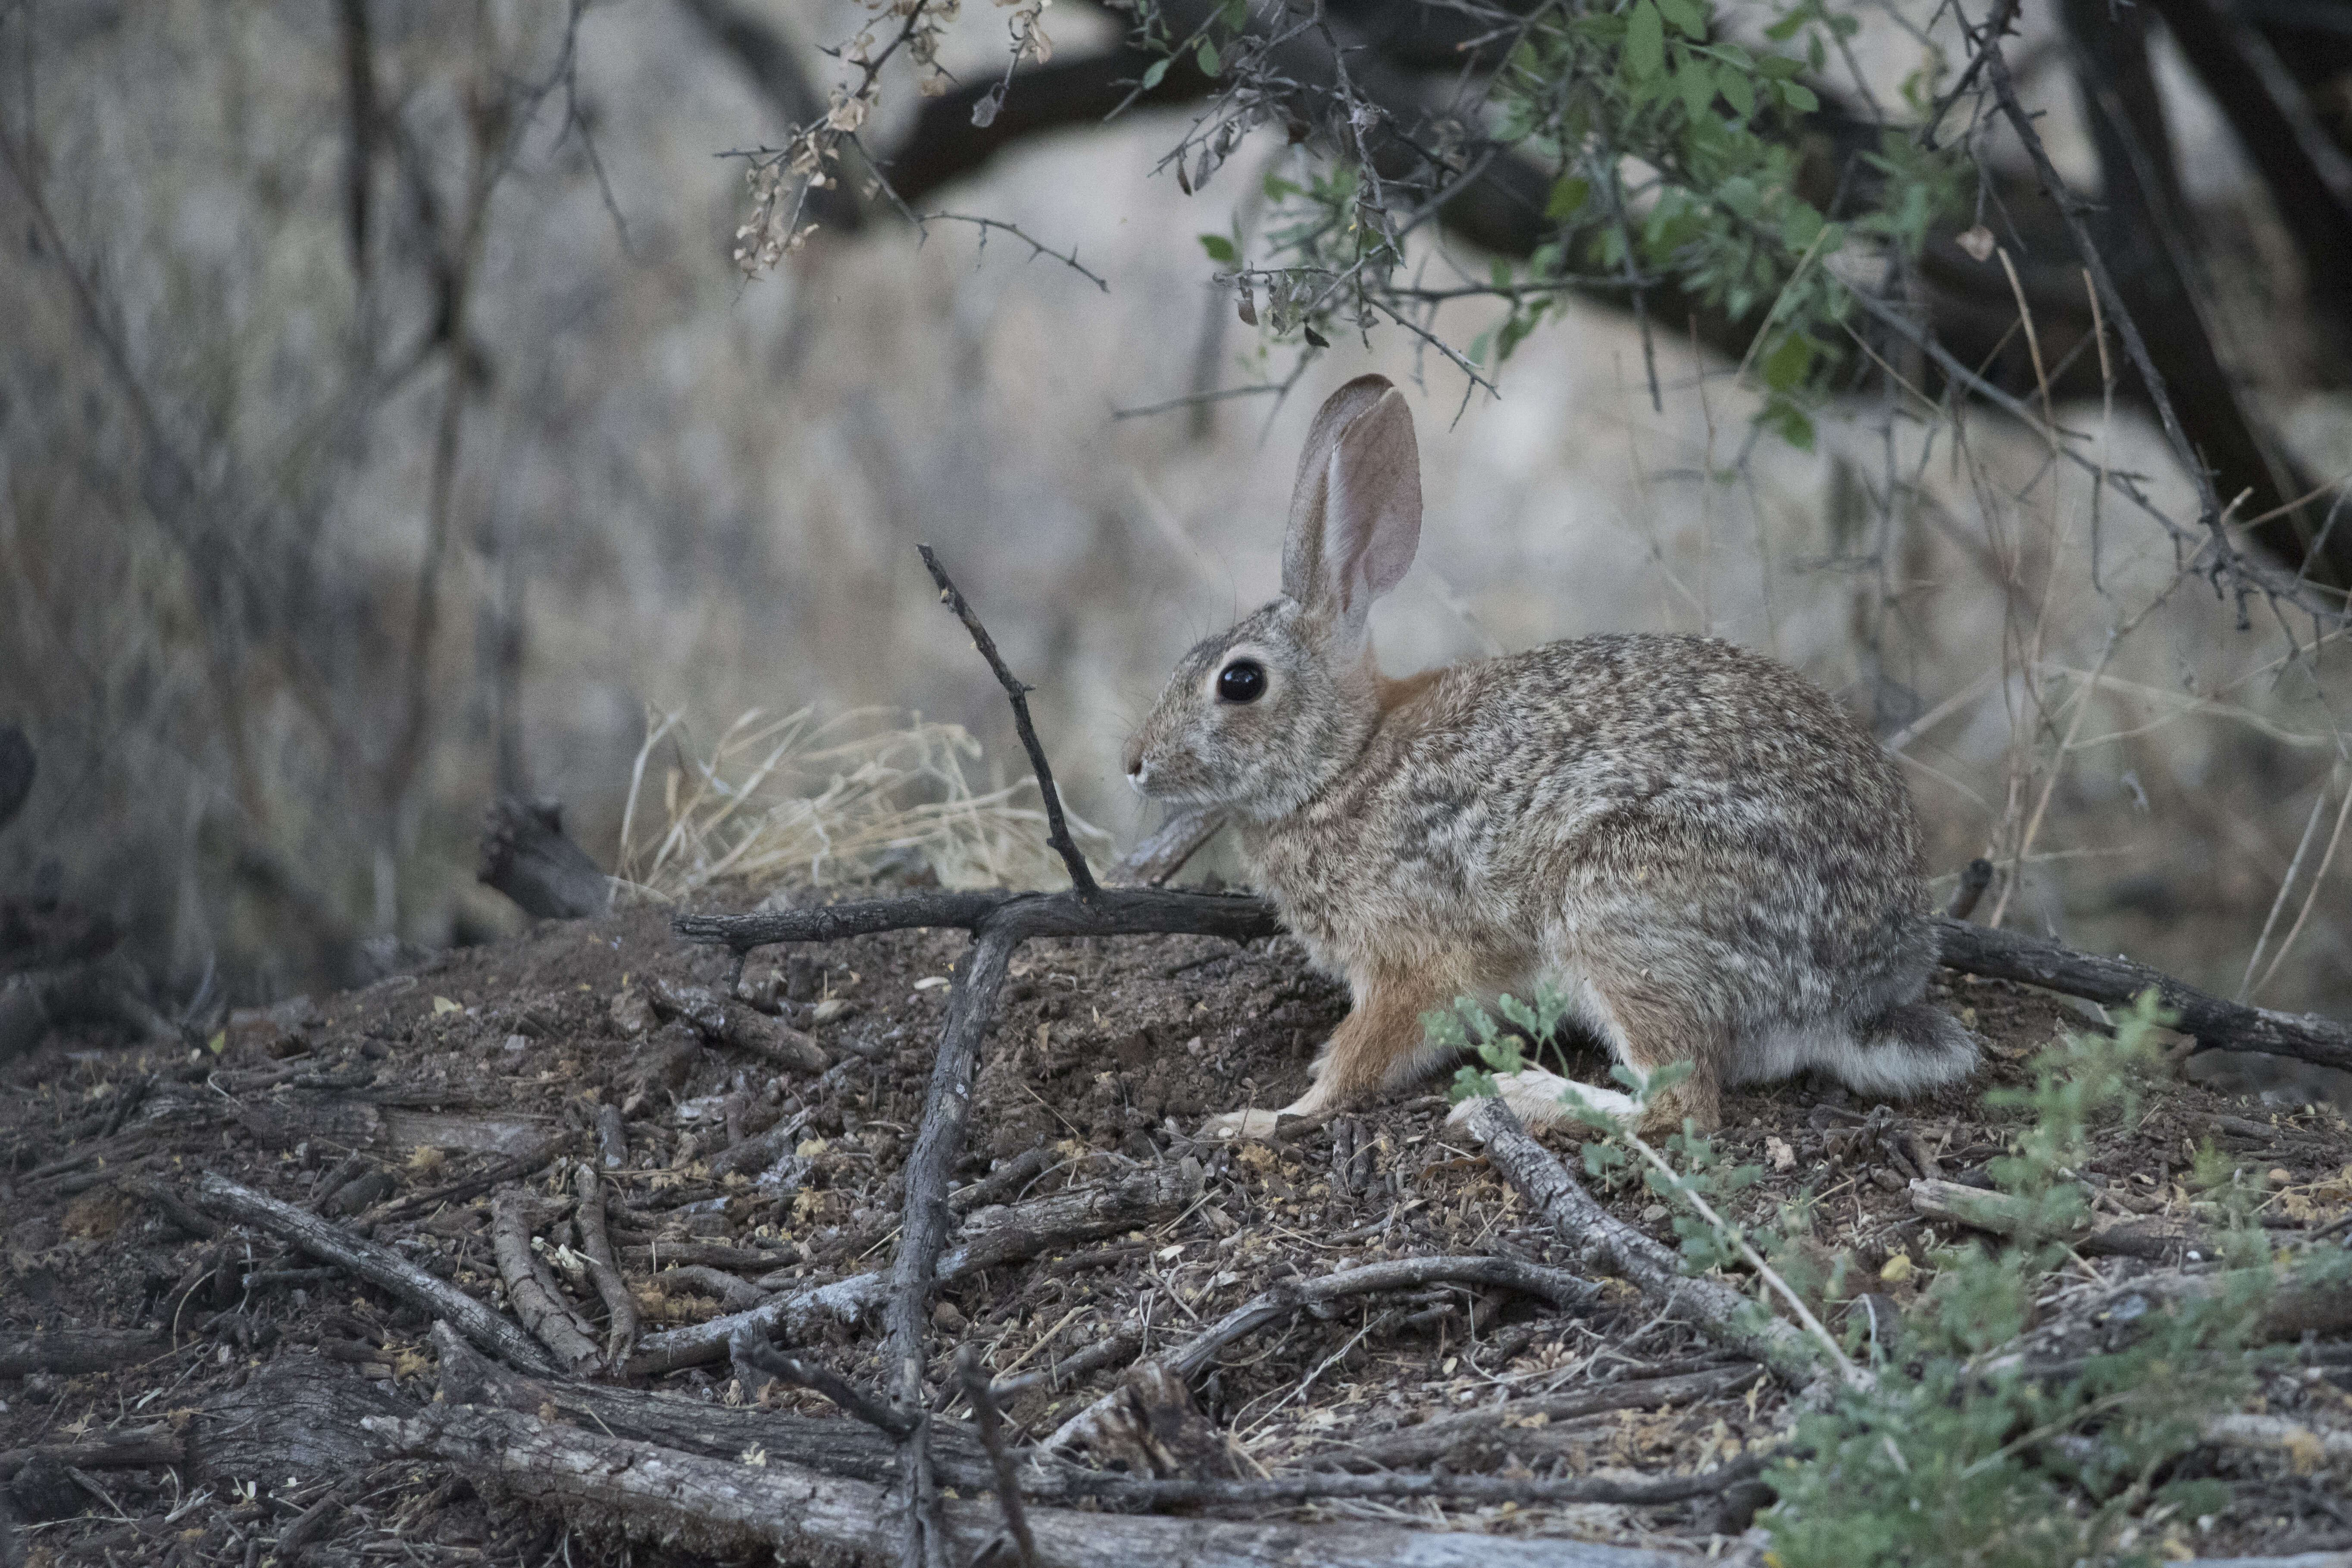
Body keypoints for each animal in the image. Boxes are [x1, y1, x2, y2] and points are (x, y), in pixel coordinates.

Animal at [1120, 381, 1966, 1142]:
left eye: (1239, 681)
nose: (1134, 762)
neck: (1343, 764)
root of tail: (1859, 988)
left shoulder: (1414, 961)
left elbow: (1360, 1059)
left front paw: (1261, 1118)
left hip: (1617, 907)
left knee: (1680, 1104)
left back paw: (1514, 1098)